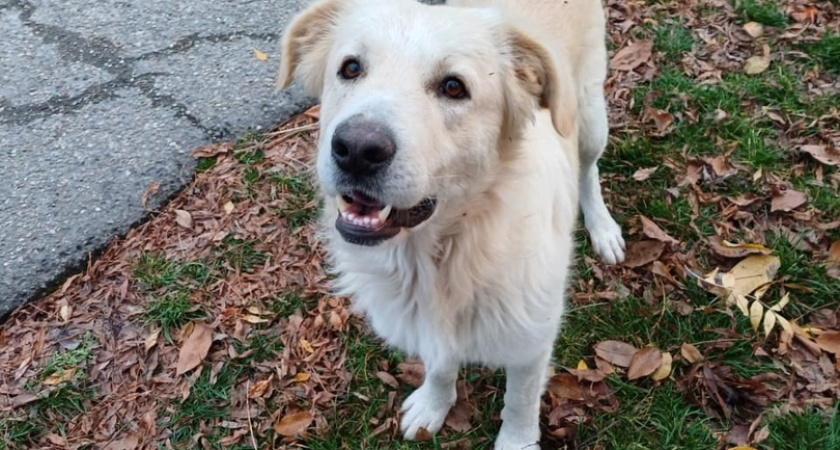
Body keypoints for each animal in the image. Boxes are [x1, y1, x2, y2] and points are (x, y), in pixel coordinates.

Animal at [276, 0, 624, 446]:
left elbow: (520, 401)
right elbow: (441, 366)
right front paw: (433, 406)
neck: (442, 252)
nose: (355, 149)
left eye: (454, 87)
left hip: (589, 117)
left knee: (589, 170)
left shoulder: (531, 342)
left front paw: (517, 441)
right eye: (350, 68)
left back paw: (603, 228)